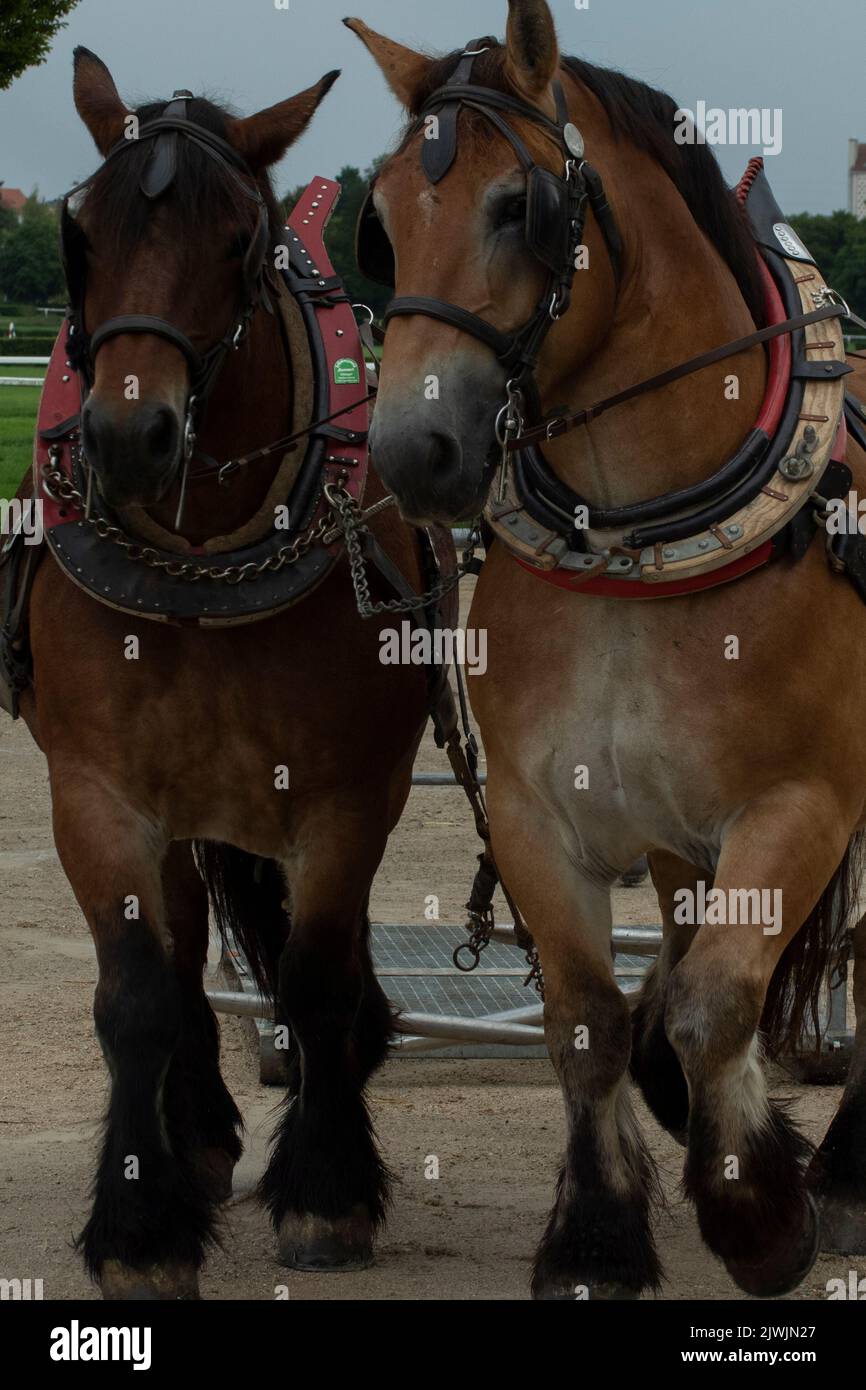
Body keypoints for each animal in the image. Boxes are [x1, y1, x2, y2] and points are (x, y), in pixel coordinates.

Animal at [348, 2, 866, 1301]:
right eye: (383, 216)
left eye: (516, 207)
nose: (413, 451)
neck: (639, 537)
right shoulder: (536, 810)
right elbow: (589, 1018)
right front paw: (598, 1233)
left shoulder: (801, 801)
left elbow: (714, 999)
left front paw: (756, 1212)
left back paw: (837, 1170)